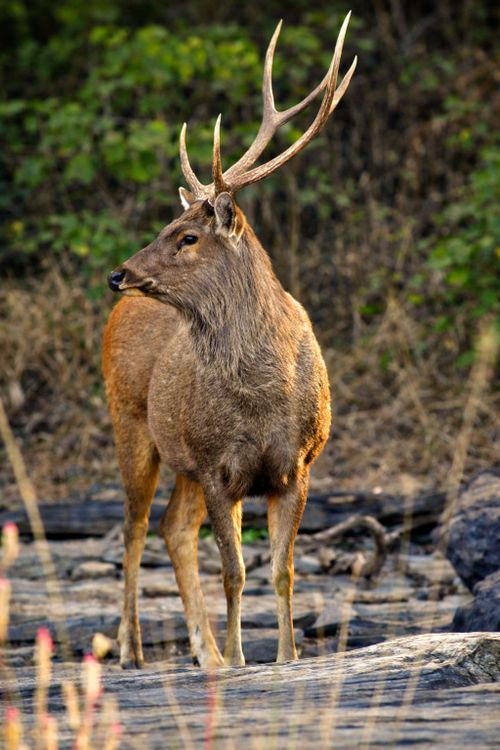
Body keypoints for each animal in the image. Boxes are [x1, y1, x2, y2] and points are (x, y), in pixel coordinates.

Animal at [102, 13, 357, 670]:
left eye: (188, 236)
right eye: (169, 226)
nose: (118, 274)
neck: (263, 396)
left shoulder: (297, 464)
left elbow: (283, 572)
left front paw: (285, 657)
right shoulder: (220, 465)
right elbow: (235, 572)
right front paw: (244, 659)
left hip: (181, 454)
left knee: (172, 527)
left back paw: (206, 652)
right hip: (129, 418)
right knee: (134, 527)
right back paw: (132, 650)